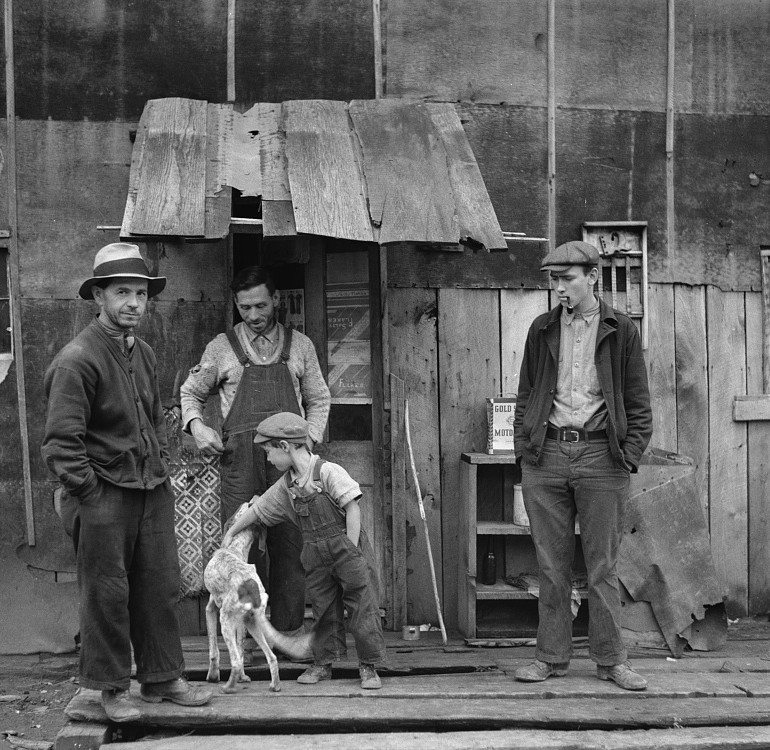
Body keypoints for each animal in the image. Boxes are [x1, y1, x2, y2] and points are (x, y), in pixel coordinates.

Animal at [206, 502, 314, 696]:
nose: (250, 502)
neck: (234, 547)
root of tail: (250, 585)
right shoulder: (241, 622)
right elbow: (241, 647)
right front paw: (243, 677)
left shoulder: (210, 609)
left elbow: (214, 651)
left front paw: (212, 676)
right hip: (252, 622)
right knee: (271, 657)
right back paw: (275, 686)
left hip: (225, 620)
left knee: (235, 662)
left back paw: (228, 687)